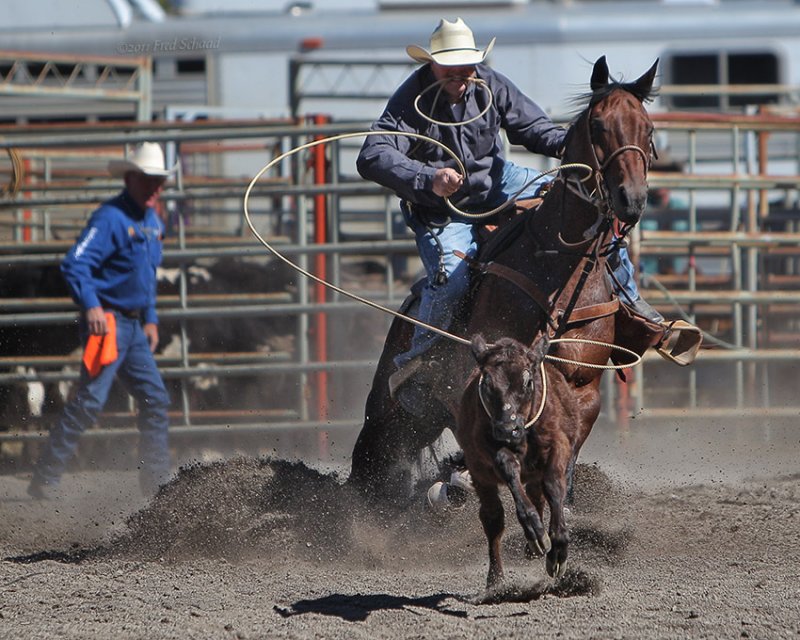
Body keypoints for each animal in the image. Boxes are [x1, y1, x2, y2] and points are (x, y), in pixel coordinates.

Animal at [346, 56, 660, 504]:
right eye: (599, 125)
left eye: (647, 129)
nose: (630, 200)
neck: (556, 271)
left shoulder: (583, 391)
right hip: (389, 412)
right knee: (370, 459)